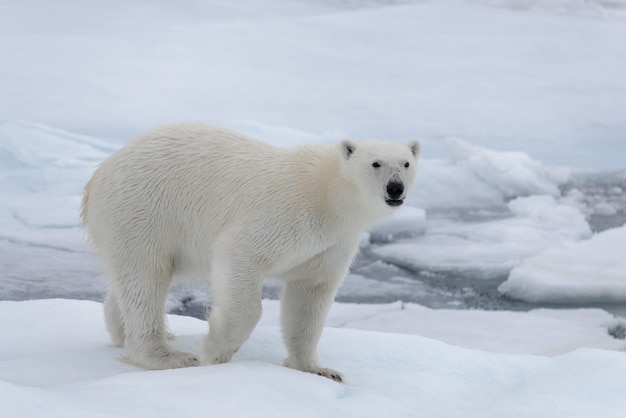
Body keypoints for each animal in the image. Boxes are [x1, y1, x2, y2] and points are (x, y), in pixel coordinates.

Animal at [79, 121, 420, 382]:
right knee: (145, 276)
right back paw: (168, 356)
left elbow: (310, 296)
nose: (395, 188)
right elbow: (240, 257)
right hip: (143, 210)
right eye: (375, 163)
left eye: (406, 163)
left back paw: (130, 334)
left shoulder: (333, 243)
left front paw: (318, 369)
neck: (329, 196)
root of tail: (98, 174)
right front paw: (215, 350)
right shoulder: (284, 214)